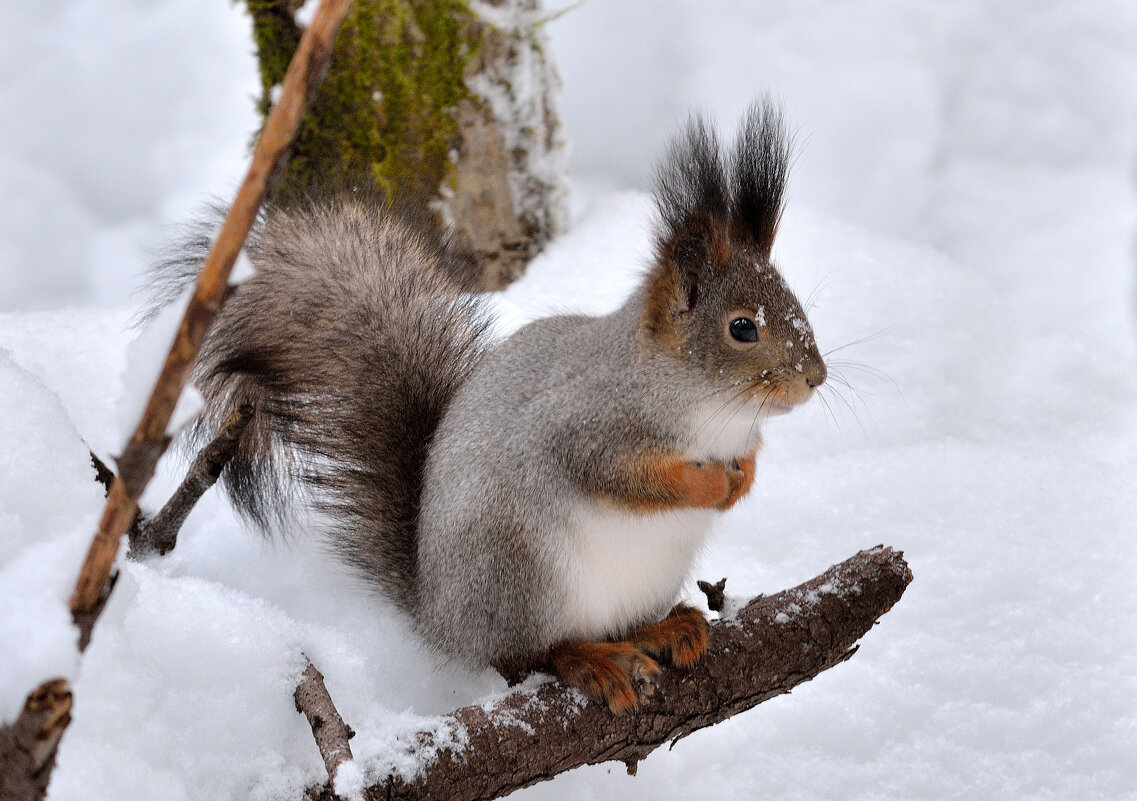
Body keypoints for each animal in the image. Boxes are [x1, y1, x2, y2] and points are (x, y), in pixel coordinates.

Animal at [151, 101, 827, 714]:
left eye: (795, 304)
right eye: (742, 328)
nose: (815, 378)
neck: (710, 408)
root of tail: (441, 617)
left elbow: (748, 460)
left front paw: (744, 480)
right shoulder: (589, 429)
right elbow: (633, 479)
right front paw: (710, 485)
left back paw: (665, 629)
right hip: (521, 572)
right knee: (528, 654)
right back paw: (592, 661)